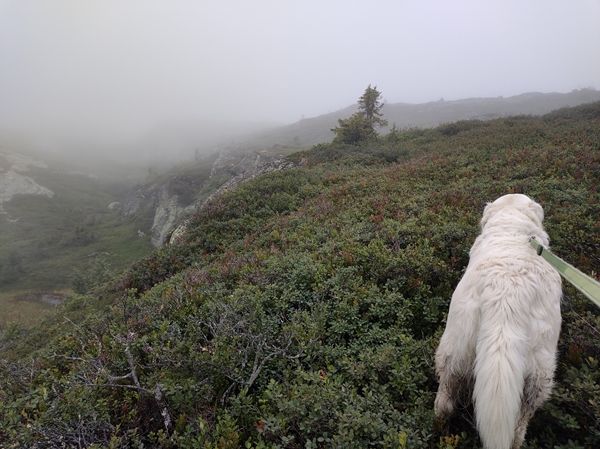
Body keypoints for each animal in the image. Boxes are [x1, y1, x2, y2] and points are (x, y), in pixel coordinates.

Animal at [434, 193, 560, 448]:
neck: (512, 227)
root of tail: (508, 287)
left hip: (455, 344)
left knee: (445, 400)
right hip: (539, 372)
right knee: (519, 427)